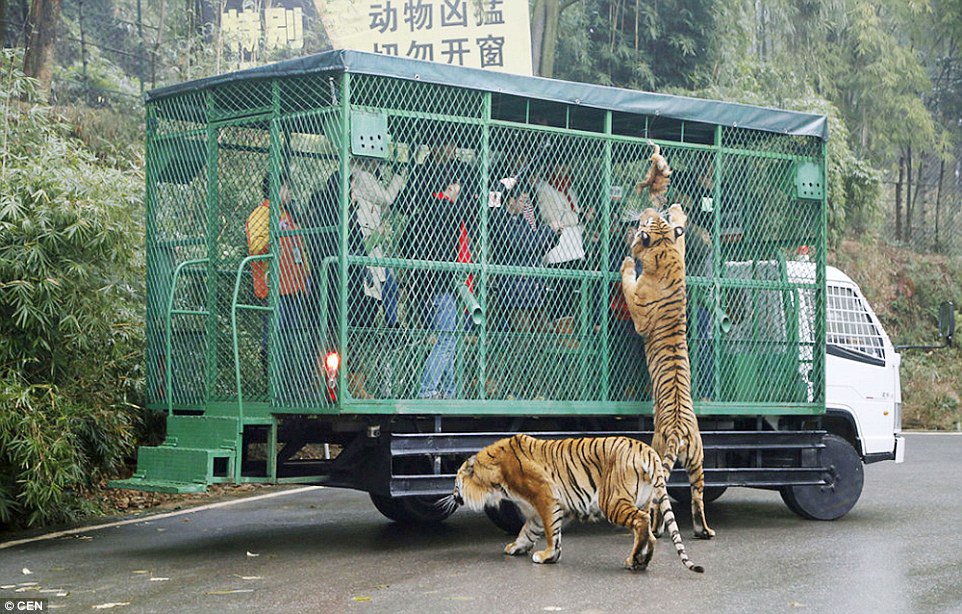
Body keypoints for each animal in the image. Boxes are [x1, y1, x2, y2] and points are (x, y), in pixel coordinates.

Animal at [446, 436, 700, 576]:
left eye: (456, 481)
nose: (452, 495)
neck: (493, 480)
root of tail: (648, 451)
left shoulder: (545, 497)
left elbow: (550, 532)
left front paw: (546, 555)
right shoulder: (543, 510)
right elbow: (530, 531)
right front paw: (518, 547)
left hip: (611, 500)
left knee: (641, 521)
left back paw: (636, 560)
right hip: (642, 501)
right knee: (651, 533)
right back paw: (639, 561)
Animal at [624, 205, 712, 540]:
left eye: (647, 221)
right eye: (655, 218)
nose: (649, 208)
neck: (662, 248)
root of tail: (678, 431)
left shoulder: (638, 310)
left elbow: (627, 282)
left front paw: (626, 261)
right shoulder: (680, 251)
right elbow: (683, 237)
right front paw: (678, 212)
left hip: (658, 450)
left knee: (655, 501)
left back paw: (657, 528)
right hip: (699, 459)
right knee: (698, 496)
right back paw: (704, 531)